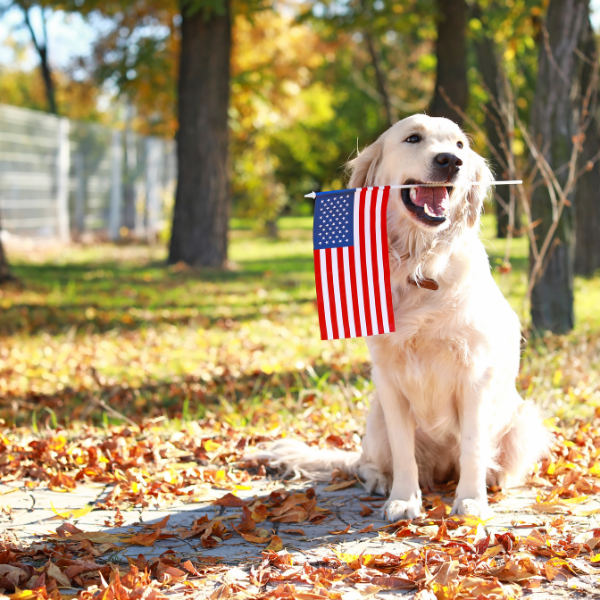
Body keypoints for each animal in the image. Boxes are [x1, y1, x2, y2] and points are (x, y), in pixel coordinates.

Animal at [254, 113, 548, 520]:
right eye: (413, 138)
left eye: (459, 145)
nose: (451, 162)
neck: (419, 264)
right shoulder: (389, 379)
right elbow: (403, 451)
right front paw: (404, 499)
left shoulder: (475, 376)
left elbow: (473, 446)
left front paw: (471, 500)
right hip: (375, 417)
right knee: (365, 463)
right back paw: (380, 480)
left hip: (524, 420)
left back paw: (491, 480)